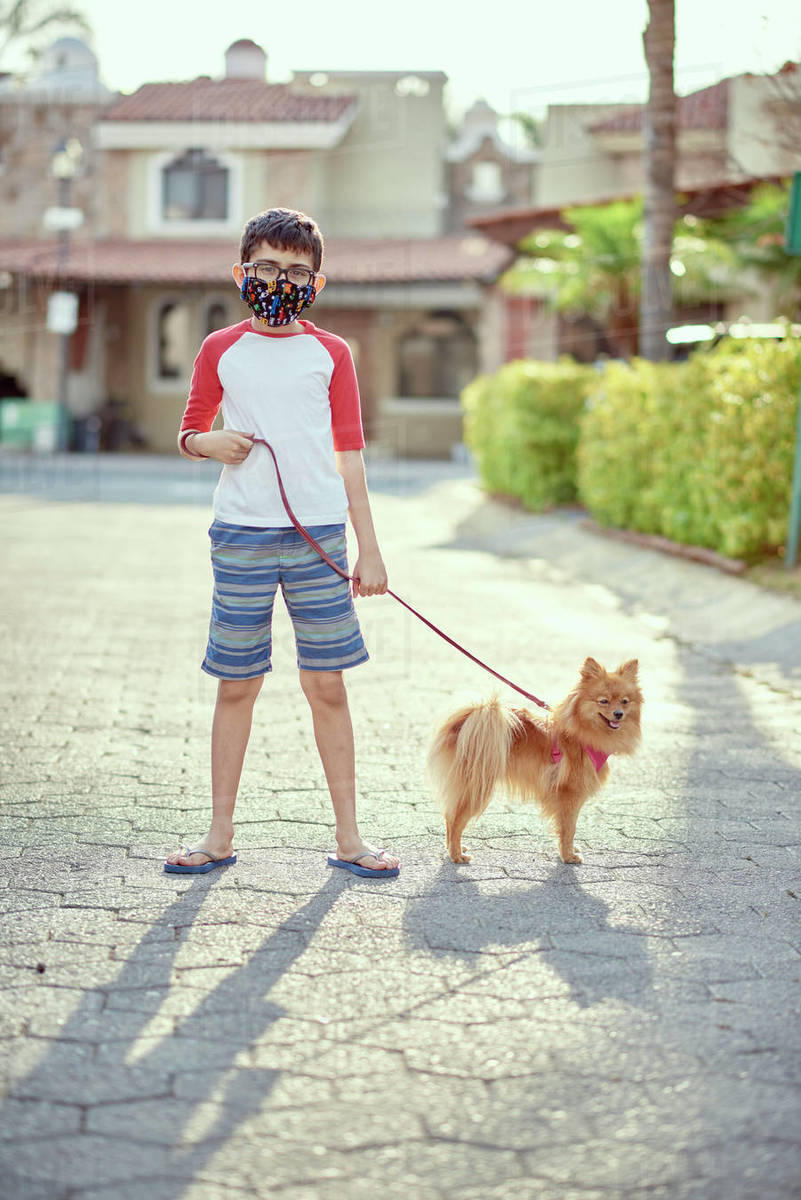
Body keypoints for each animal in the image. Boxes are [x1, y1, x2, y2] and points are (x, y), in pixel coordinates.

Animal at [429, 657, 642, 864]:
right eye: (603, 701)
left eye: (625, 701)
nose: (618, 714)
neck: (580, 733)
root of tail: (467, 720)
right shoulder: (570, 795)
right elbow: (569, 829)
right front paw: (568, 856)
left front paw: (570, 851)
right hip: (477, 785)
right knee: (456, 820)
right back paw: (456, 855)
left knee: (449, 815)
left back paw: (453, 849)